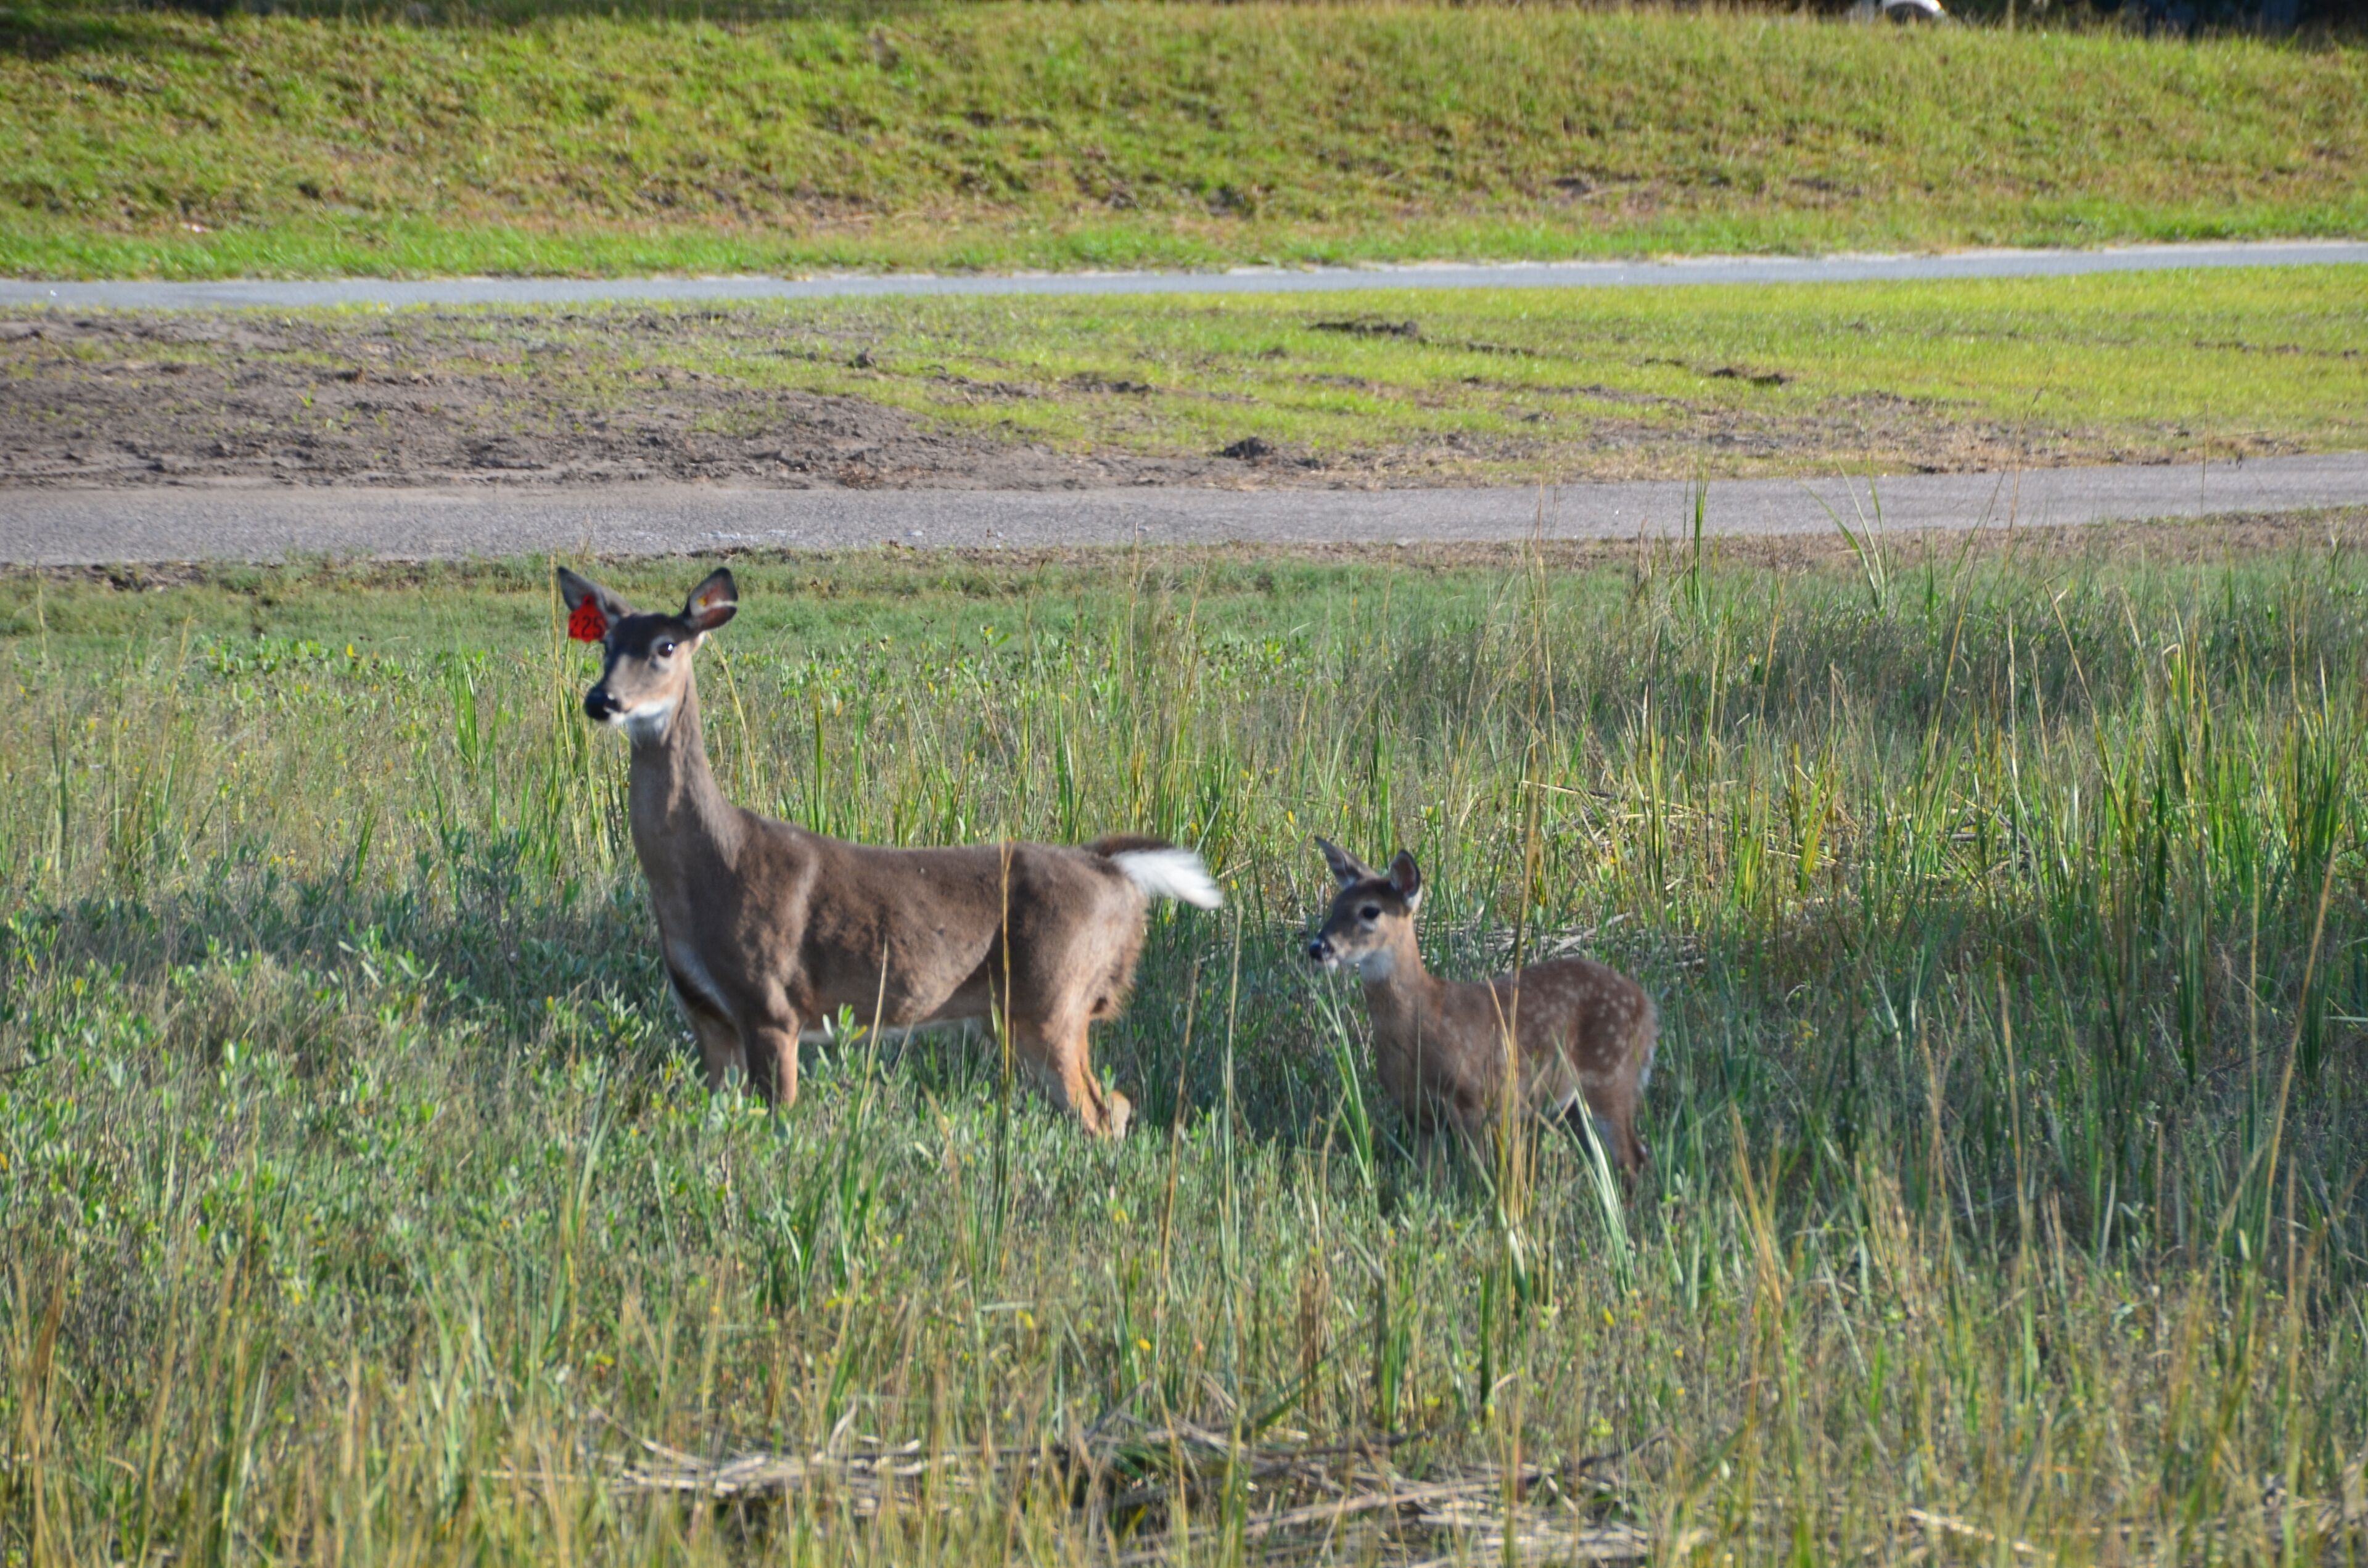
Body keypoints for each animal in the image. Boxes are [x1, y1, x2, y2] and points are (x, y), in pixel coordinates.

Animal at [556, 565, 1221, 1137]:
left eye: (667, 646)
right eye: (606, 642)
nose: (601, 700)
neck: (709, 868)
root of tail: (1112, 868)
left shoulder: (772, 1004)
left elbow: (780, 1122)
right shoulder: (706, 1015)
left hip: (1055, 995)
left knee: (1101, 1112)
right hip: (1023, 1013)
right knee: (1117, 1104)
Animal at [1306, 839, 1656, 1178]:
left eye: (1370, 911)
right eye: (1335, 905)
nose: (1318, 947)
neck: (1425, 1021)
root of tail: (1648, 1005)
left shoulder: (1477, 1100)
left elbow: (1479, 1173)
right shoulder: (1416, 1112)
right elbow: (1428, 1181)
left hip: (1610, 1077)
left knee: (1633, 1157)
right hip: (1575, 1104)